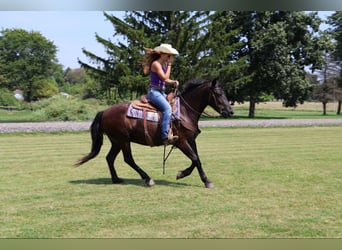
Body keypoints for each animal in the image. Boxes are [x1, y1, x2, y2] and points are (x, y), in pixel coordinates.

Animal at [75, 78, 234, 188]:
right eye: (218, 93)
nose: (230, 111)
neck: (184, 111)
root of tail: (104, 112)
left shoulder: (191, 139)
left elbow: (196, 159)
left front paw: (182, 174)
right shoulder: (181, 141)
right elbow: (195, 158)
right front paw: (206, 181)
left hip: (116, 141)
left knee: (110, 158)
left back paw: (116, 179)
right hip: (123, 140)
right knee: (128, 159)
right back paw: (148, 179)